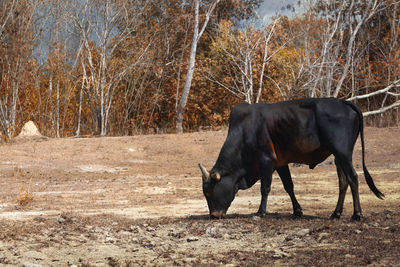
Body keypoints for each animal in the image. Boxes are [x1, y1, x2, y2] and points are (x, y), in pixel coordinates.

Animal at [200, 98, 384, 222]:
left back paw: (357, 214)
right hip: (339, 157)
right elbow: (289, 186)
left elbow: (265, 188)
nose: (214, 215)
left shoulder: (266, 160)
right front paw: (297, 211)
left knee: (353, 178)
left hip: (343, 153)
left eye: (209, 192)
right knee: (343, 182)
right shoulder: (280, 164)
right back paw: (335, 213)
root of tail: (345, 103)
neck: (244, 131)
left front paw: (260, 212)